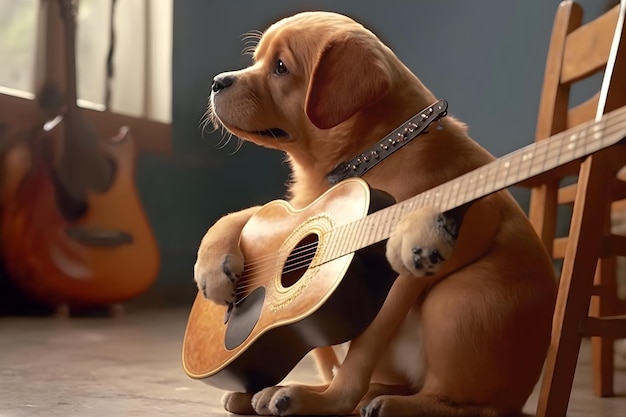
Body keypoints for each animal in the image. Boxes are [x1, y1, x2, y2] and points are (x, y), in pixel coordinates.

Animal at [195, 9, 556, 416]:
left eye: (281, 68)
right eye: (255, 60)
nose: (216, 82)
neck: (370, 154)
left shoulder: (398, 277)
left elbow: (361, 354)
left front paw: (330, 401)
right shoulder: (299, 207)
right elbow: (240, 214)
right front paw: (212, 268)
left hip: (460, 302)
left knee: (465, 404)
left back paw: (377, 402)